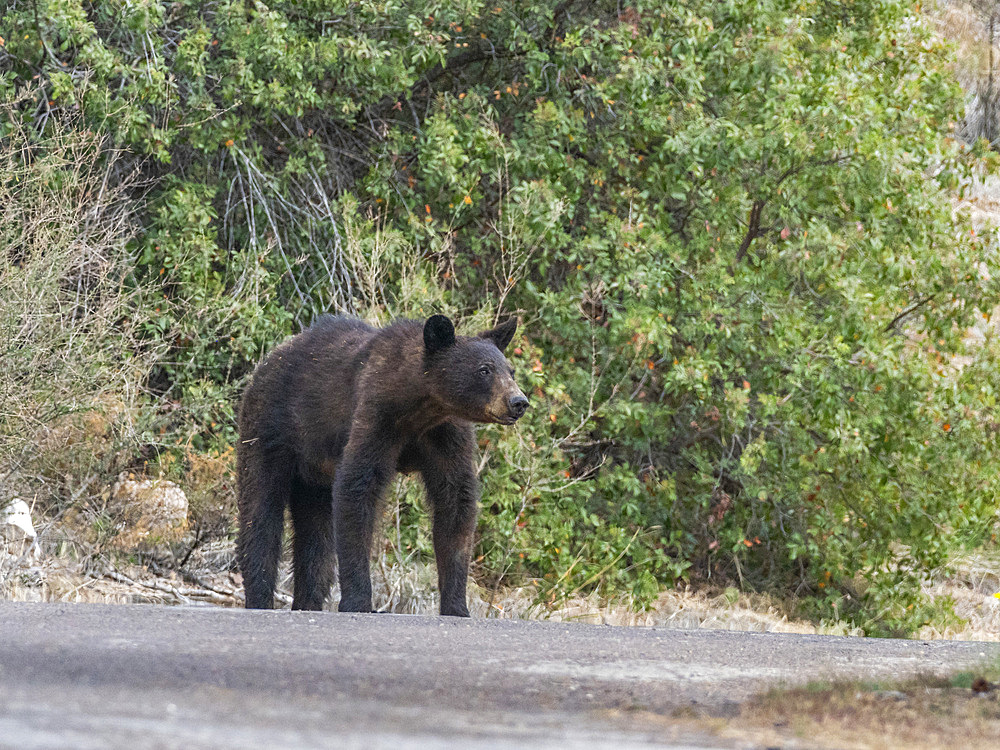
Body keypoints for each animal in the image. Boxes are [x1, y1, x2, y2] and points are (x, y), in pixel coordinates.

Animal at [237, 316, 528, 616]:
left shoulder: (445, 435)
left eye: (511, 371)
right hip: (270, 431)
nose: (518, 402)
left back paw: (308, 604)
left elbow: (456, 501)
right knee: (260, 511)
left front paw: (457, 606)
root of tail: (269, 360)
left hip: (315, 472)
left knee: (316, 534)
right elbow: (357, 487)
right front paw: (358, 601)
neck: (421, 408)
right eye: (484, 370)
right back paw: (259, 598)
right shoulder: (376, 416)